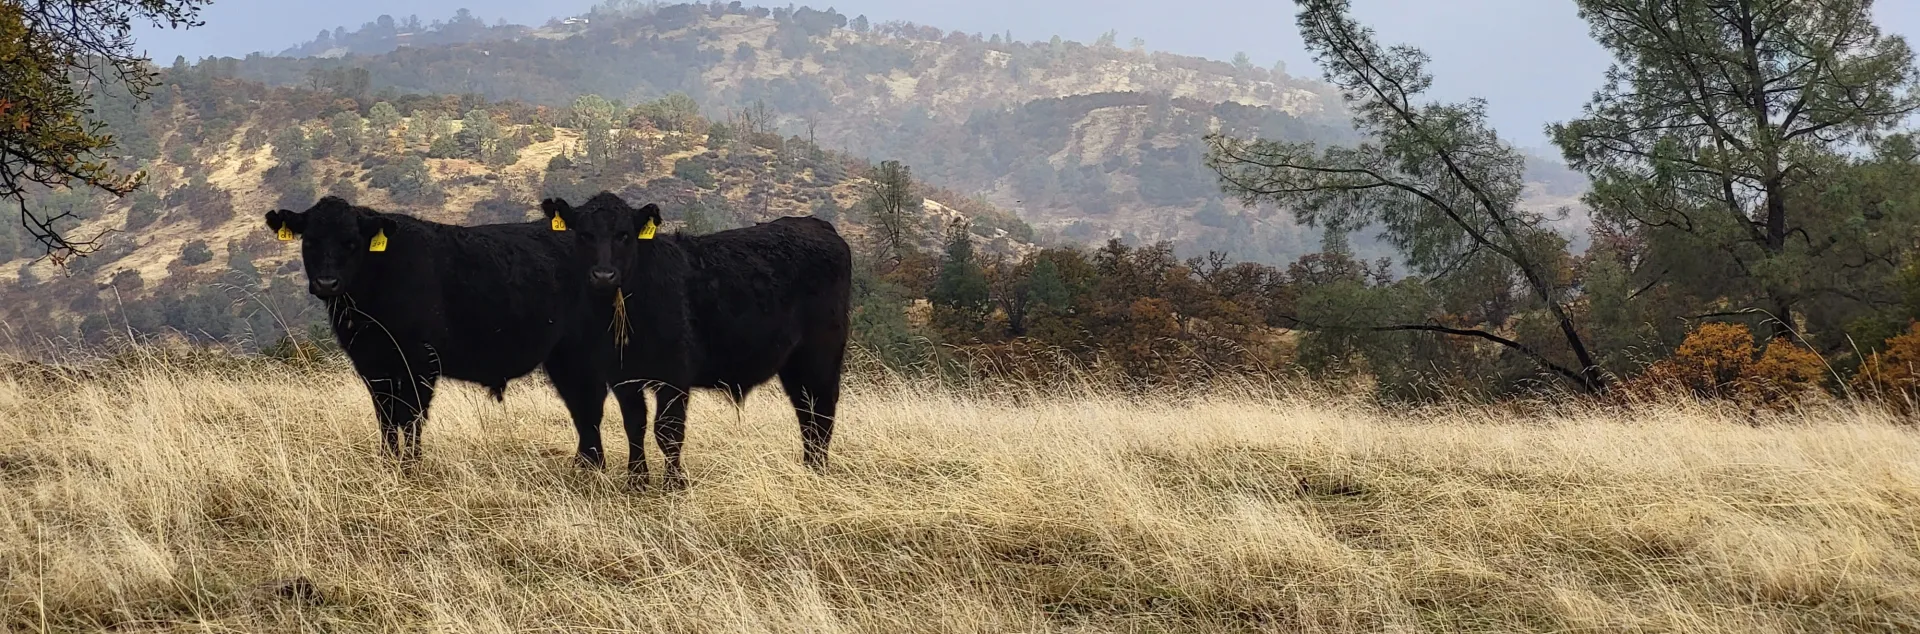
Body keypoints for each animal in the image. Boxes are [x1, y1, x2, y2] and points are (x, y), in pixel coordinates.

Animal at [263, 196, 611, 465]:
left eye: (351, 243)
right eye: (310, 241)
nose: (326, 283)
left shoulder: (419, 360)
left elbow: (411, 415)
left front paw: (411, 464)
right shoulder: (371, 364)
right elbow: (386, 416)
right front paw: (388, 461)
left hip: (585, 348)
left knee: (589, 403)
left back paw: (590, 465)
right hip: (562, 355)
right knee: (581, 405)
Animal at [541, 192, 852, 489]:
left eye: (624, 235)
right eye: (584, 235)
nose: (603, 275)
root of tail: (816, 225)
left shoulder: (675, 374)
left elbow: (668, 429)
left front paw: (674, 483)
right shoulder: (623, 377)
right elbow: (635, 425)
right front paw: (637, 480)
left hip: (821, 355)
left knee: (822, 409)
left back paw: (818, 468)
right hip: (794, 364)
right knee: (805, 410)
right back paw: (810, 466)